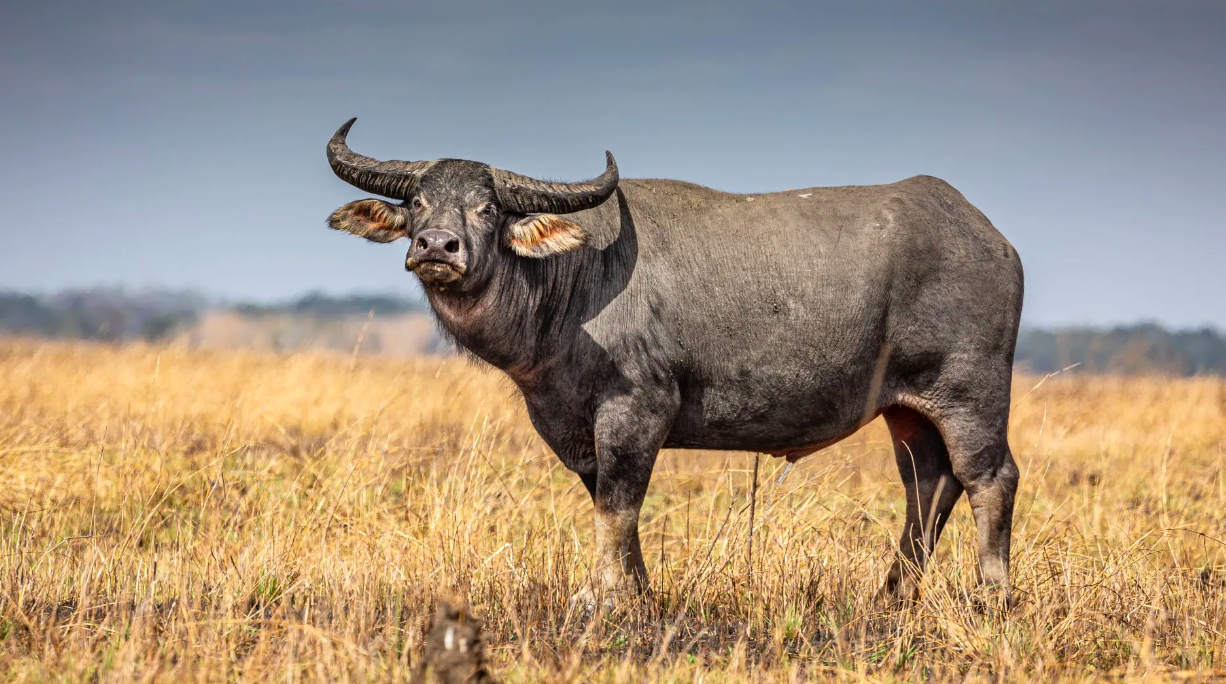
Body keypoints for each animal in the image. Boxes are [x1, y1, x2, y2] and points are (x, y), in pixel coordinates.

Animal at [323, 117, 1024, 605]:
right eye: (418, 201)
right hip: (907, 410)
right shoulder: (578, 429)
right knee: (928, 484)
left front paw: (600, 598)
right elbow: (612, 506)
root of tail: (994, 240)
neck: (574, 283)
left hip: (970, 393)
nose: (437, 246)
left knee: (989, 477)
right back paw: (893, 594)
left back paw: (991, 594)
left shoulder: (638, 410)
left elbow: (619, 505)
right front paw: (638, 594)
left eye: (490, 207)